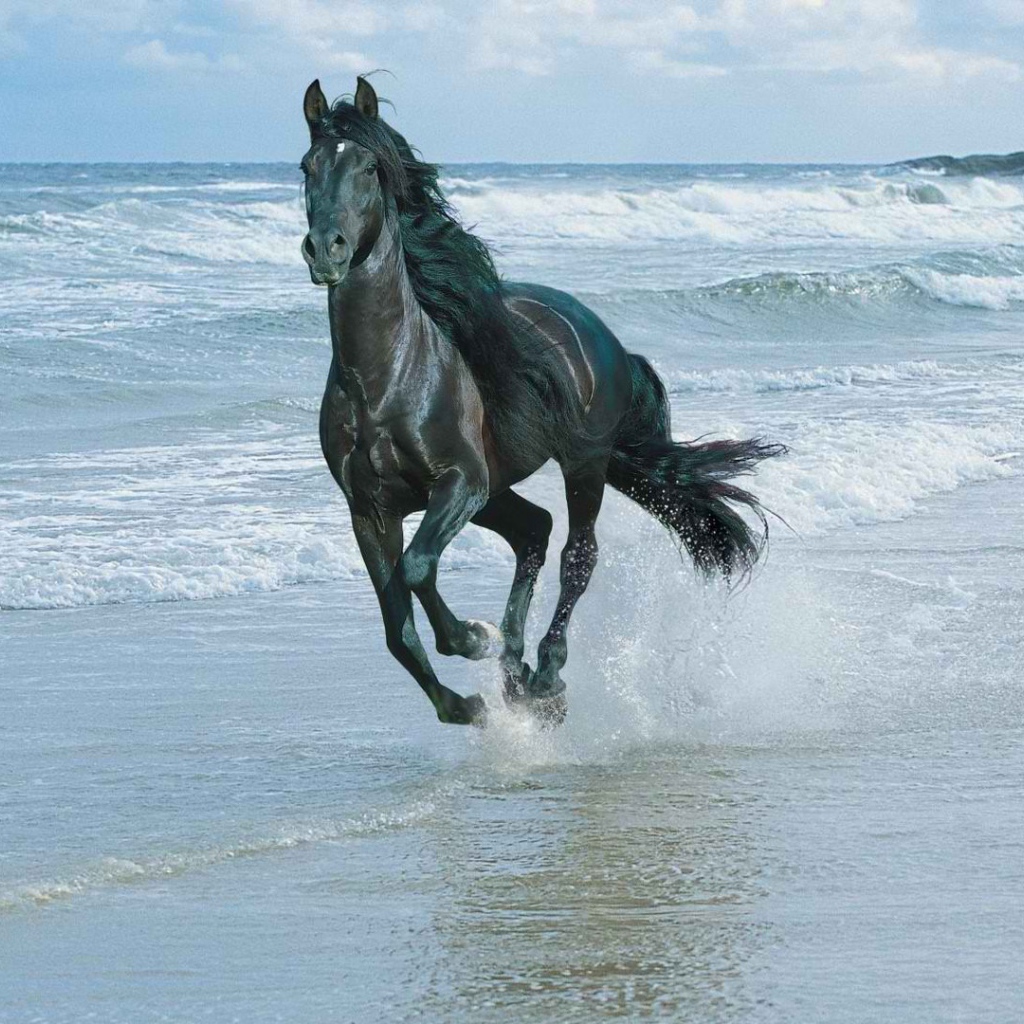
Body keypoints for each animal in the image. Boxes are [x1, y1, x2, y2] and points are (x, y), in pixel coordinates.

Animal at [300, 76, 784, 727]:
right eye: (307, 167)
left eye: (370, 168)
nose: (325, 249)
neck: (386, 379)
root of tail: (603, 336)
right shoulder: (370, 510)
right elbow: (396, 629)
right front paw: (466, 703)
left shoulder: (459, 481)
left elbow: (419, 568)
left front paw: (472, 638)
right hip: (498, 490)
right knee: (534, 530)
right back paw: (516, 673)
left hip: (580, 465)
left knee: (577, 554)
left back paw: (545, 675)